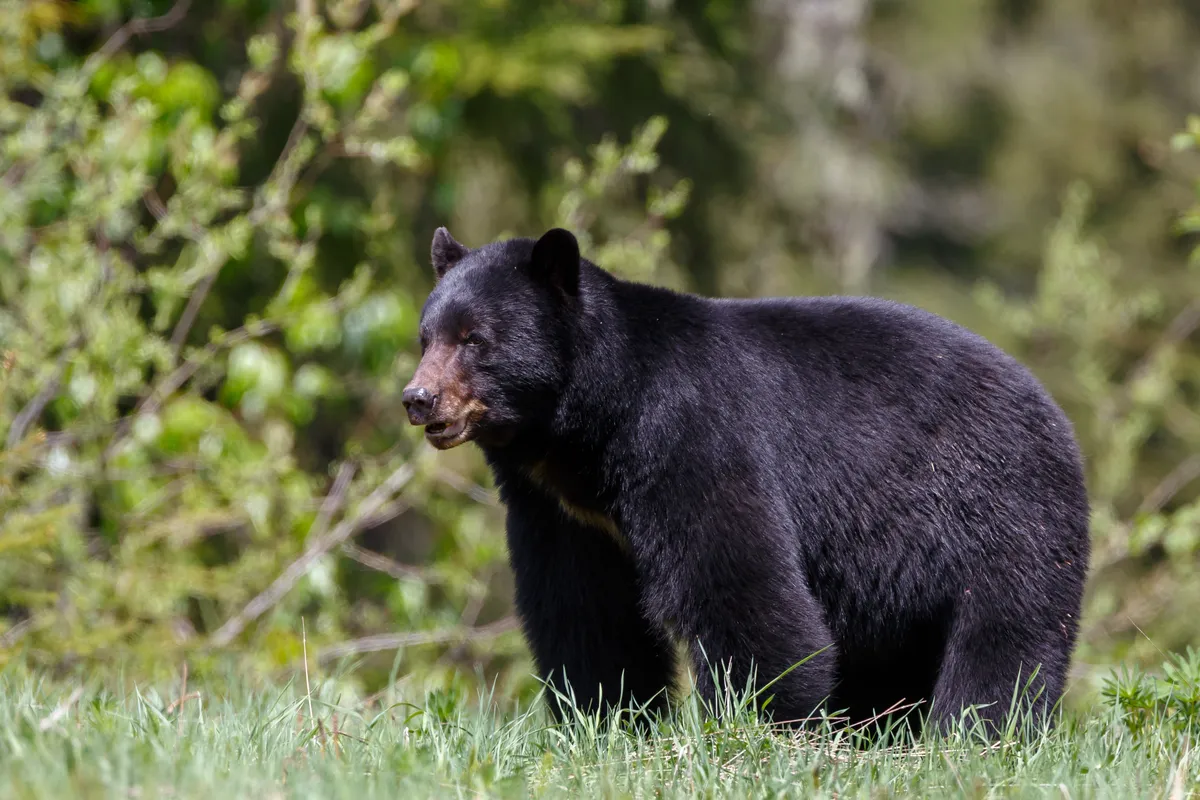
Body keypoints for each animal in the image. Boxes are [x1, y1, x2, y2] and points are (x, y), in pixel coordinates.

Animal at [400, 224, 1089, 734]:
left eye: (475, 339)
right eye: (426, 336)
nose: (418, 399)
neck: (585, 434)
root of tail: (1056, 414)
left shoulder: (691, 439)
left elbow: (737, 578)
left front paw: (761, 720)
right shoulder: (562, 509)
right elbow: (584, 607)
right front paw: (607, 719)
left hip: (999, 507)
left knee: (1004, 632)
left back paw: (977, 730)